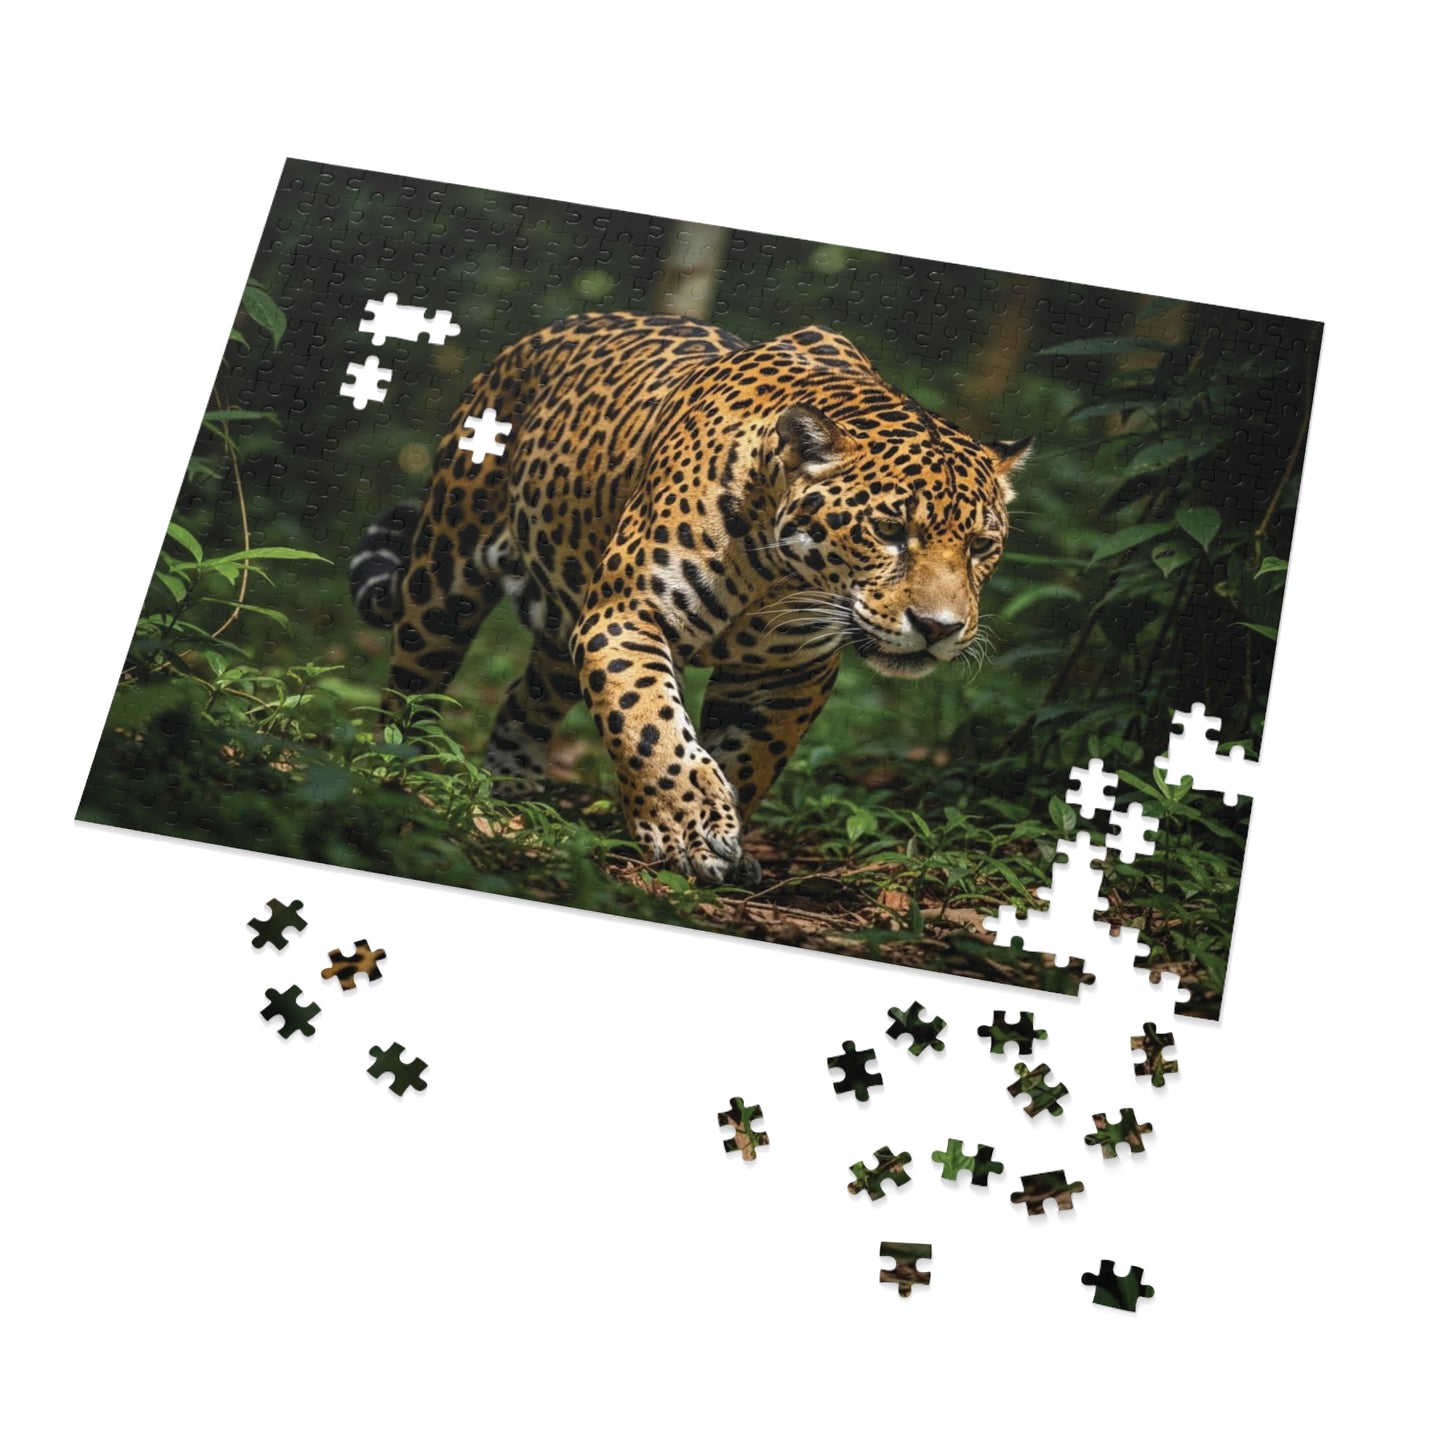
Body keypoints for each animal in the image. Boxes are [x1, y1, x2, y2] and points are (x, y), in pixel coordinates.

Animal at [350, 310, 1030, 884]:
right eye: (889, 531)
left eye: (981, 546)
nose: (940, 627)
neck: (778, 574)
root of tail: (536, 336)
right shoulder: (626, 615)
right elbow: (648, 720)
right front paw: (688, 829)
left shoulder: (789, 673)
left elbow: (749, 758)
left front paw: (724, 840)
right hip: (444, 576)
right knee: (413, 684)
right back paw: (400, 770)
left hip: (564, 624)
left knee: (527, 695)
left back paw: (510, 789)